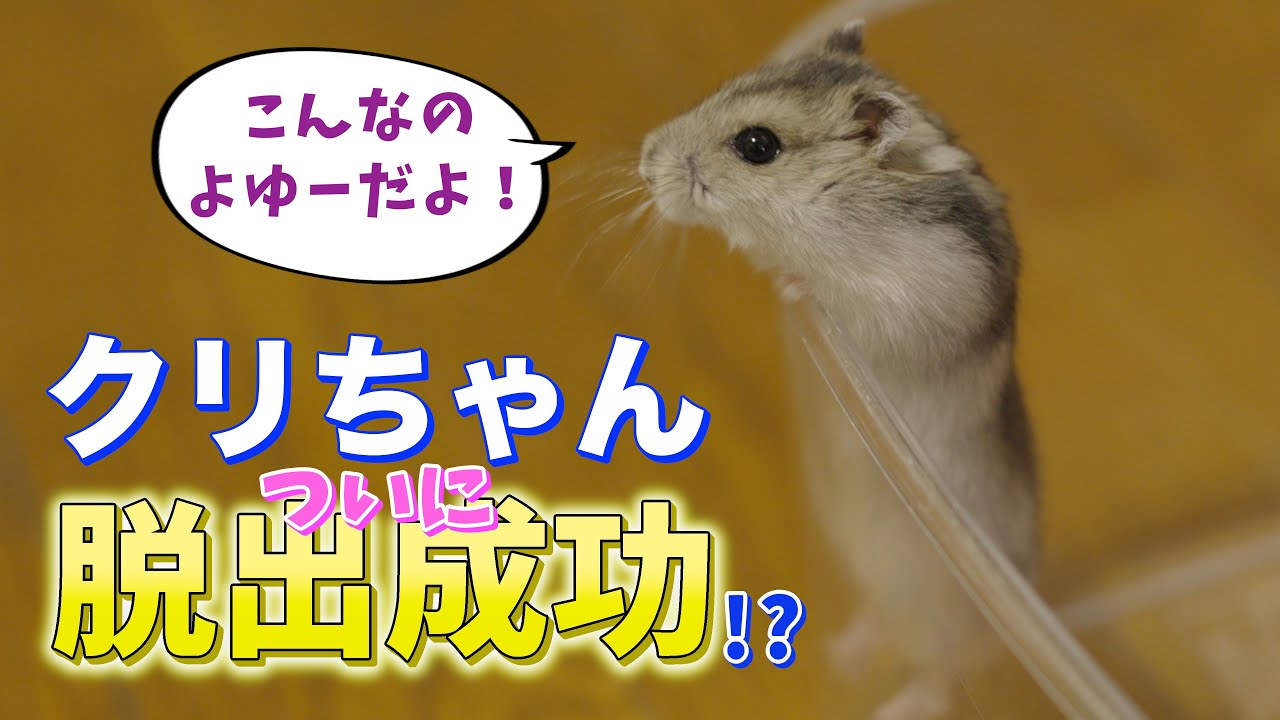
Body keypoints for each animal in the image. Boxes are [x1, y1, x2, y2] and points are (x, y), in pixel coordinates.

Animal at [639, 20, 1039, 719]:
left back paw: (888, 701)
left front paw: (794, 283)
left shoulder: (915, 299)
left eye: (757, 146)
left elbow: (840, 292)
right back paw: (841, 655)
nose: (643, 158)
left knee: (936, 677)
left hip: (940, 613)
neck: (849, 211)